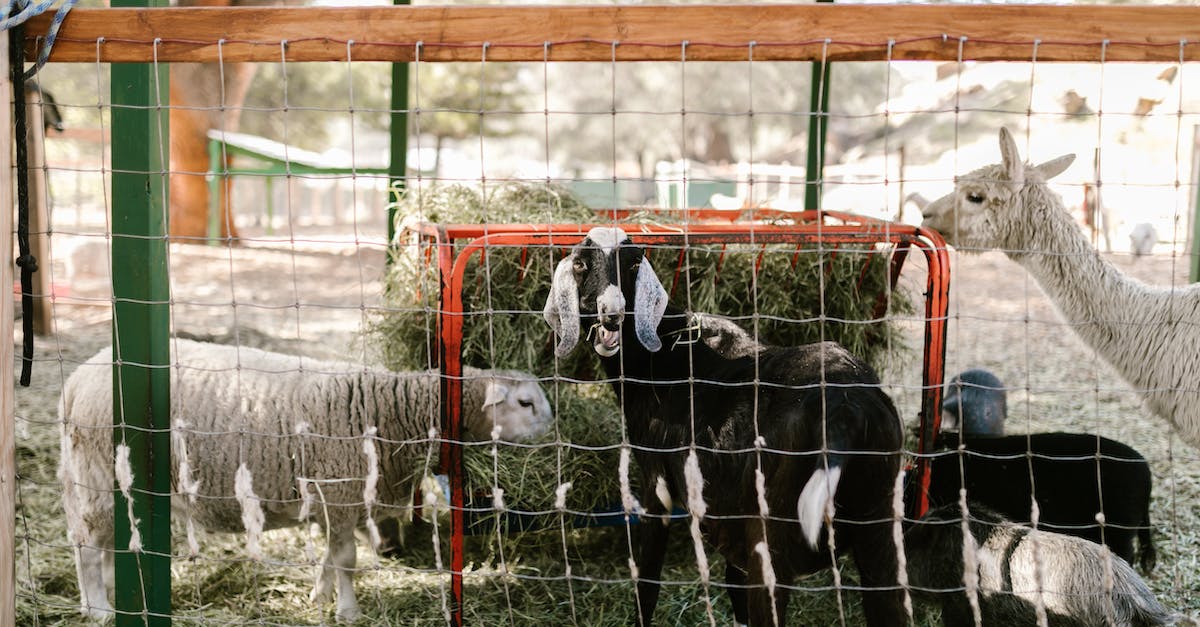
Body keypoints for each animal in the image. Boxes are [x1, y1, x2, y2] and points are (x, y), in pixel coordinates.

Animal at [58, 339, 552, 622]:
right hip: (98, 476)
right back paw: (98, 609)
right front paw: (349, 611)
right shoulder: (339, 491)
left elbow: (331, 557)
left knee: (104, 543)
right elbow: (348, 559)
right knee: (86, 547)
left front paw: (319, 596)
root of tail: (79, 377)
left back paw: (110, 594)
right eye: (525, 402)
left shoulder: (332, 498)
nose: (555, 433)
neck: (391, 410)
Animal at [543, 227, 908, 626]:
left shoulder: (657, 483)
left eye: (635, 263)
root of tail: (844, 409)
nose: (611, 314)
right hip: (880, 529)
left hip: (773, 540)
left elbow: (647, 579)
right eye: (580, 264)